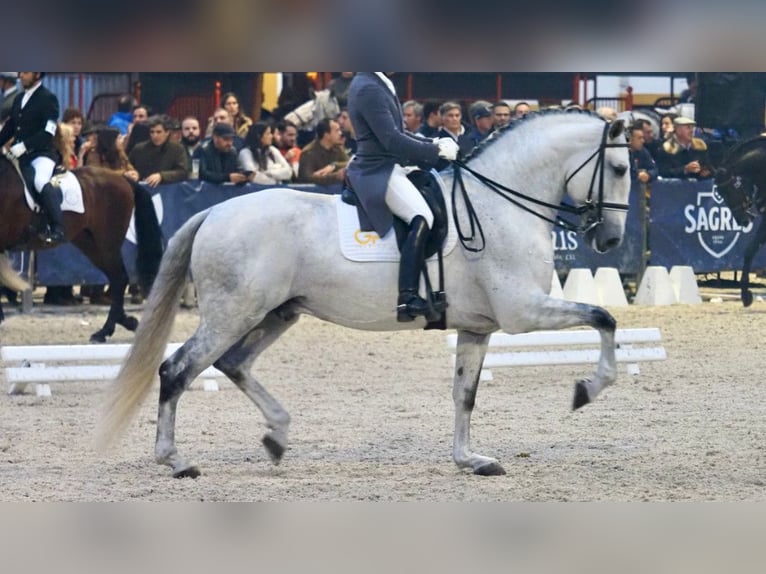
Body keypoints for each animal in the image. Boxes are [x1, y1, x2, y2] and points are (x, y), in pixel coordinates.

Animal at [0, 153, 164, 342]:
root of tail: (122, 178)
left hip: (107, 243)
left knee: (120, 278)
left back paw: (104, 331)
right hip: (90, 244)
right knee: (117, 279)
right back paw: (127, 322)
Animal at [99, 110, 632, 480]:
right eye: (622, 167)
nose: (610, 240)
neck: (499, 204)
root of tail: (214, 211)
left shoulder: (477, 327)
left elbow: (464, 395)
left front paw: (470, 460)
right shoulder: (523, 313)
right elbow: (603, 317)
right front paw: (588, 389)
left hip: (276, 314)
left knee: (234, 364)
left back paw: (278, 436)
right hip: (233, 313)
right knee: (178, 369)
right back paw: (176, 460)